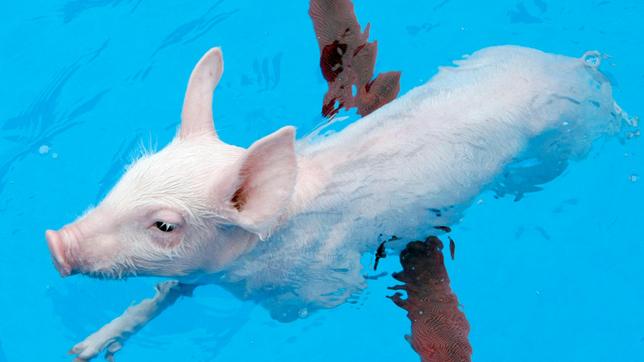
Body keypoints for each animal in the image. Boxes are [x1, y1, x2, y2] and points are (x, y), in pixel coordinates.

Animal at [44, 44, 624, 360]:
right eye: (127, 177)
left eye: (165, 226)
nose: (55, 242)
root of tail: (579, 66)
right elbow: (164, 297)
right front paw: (84, 350)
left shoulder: (323, 278)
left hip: (571, 138)